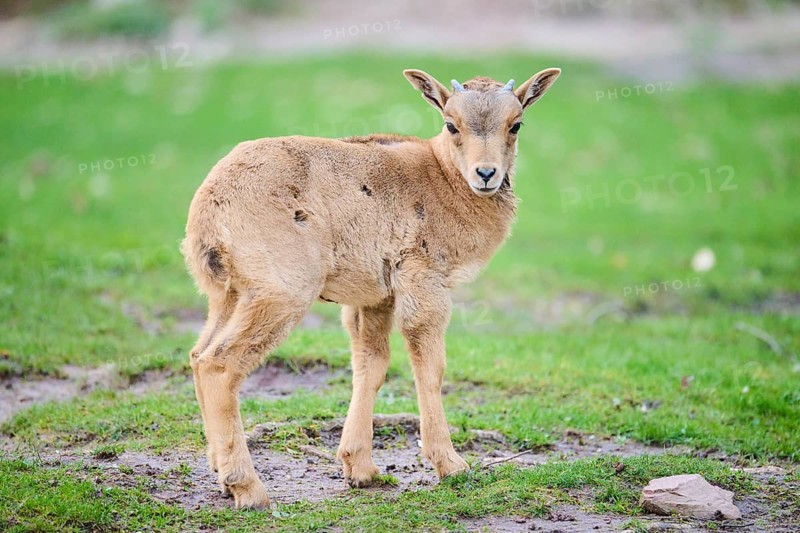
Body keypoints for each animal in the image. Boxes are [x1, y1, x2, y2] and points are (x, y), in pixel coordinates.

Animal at [182, 67, 561, 508]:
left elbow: (371, 365)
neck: (442, 178)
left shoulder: (375, 297)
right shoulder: (422, 279)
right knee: (220, 365)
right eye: (451, 124)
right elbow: (429, 366)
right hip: (280, 292)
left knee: (198, 354)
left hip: (229, 294)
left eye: (515, 124)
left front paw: (360, 468)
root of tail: (210, 205)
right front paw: (451, 465)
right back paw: (248, 487)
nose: (486, 175)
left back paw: (221, 473)